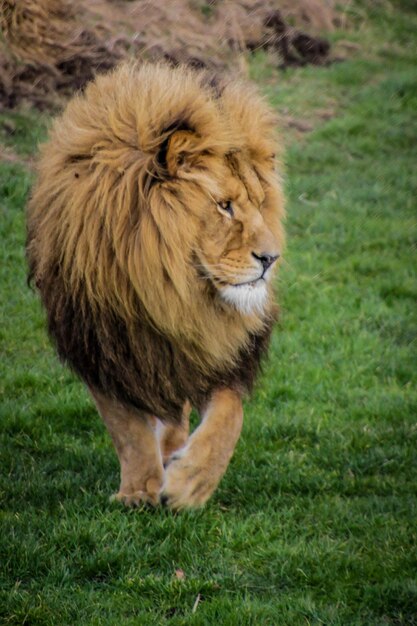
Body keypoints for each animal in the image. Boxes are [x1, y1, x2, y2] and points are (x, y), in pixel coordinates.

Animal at [26, 61, 284, 508]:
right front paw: (139, 490)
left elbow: (229, 417)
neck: (172, 288)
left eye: (259, 203)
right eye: (224, 206)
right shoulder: (102, 342)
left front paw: (190, 483)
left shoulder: (215, 348)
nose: (270, 259)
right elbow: (126, 426)